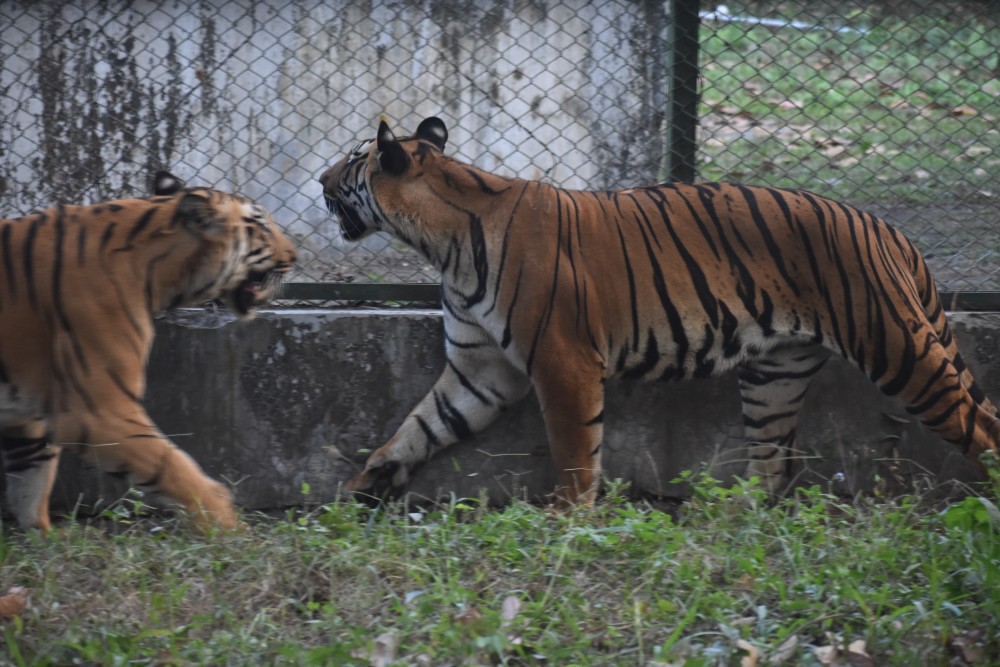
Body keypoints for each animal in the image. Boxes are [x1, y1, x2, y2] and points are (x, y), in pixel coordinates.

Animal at [0, 172, 294, 532]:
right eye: (262, 225)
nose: (295, 257)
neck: (157, 273)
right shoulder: (100, 412)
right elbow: (174, 467)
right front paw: (229, 528)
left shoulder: (28, 419)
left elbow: (30, 489)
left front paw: (48, 539)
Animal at [320, 118, 1000, 506]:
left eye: (352, 160)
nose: (319, 180)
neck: (443, 245)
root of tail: (887, 227)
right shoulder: (481, 371)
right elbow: (417, 428)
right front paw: (359, 491)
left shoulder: (563, 365)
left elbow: (575, 456)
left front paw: (566, 524)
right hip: (775, 376)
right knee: (774, 469)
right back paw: (731, 524)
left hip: (899, 350)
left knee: (982, 427)